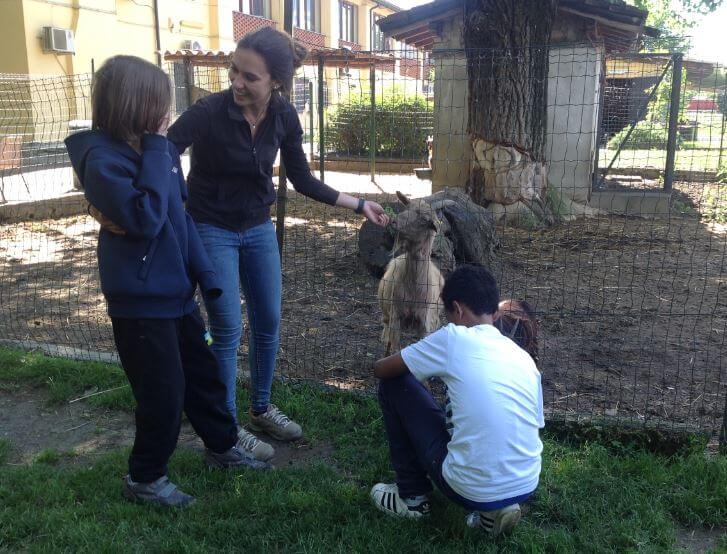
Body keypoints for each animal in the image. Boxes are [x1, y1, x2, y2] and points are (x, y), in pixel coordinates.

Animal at [378, 191, 446, 354]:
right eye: (407, 207)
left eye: (424, 219)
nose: (393, 222)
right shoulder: (396, 318)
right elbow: (394, 349)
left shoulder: (425, 324)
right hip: (386, 313)